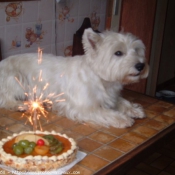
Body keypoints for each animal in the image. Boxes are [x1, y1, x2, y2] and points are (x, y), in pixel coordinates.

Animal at [0, 28, 148, 127]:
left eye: (136, 50)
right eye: (118, 53)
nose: (141, 66)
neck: (101, 79)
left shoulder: (111, 97)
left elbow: (122, 101)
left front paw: (135, 110)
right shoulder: (83, 107)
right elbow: (105, 112)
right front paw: (123, 119)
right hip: (16, 79)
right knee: (5, 98)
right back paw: (19, 105)